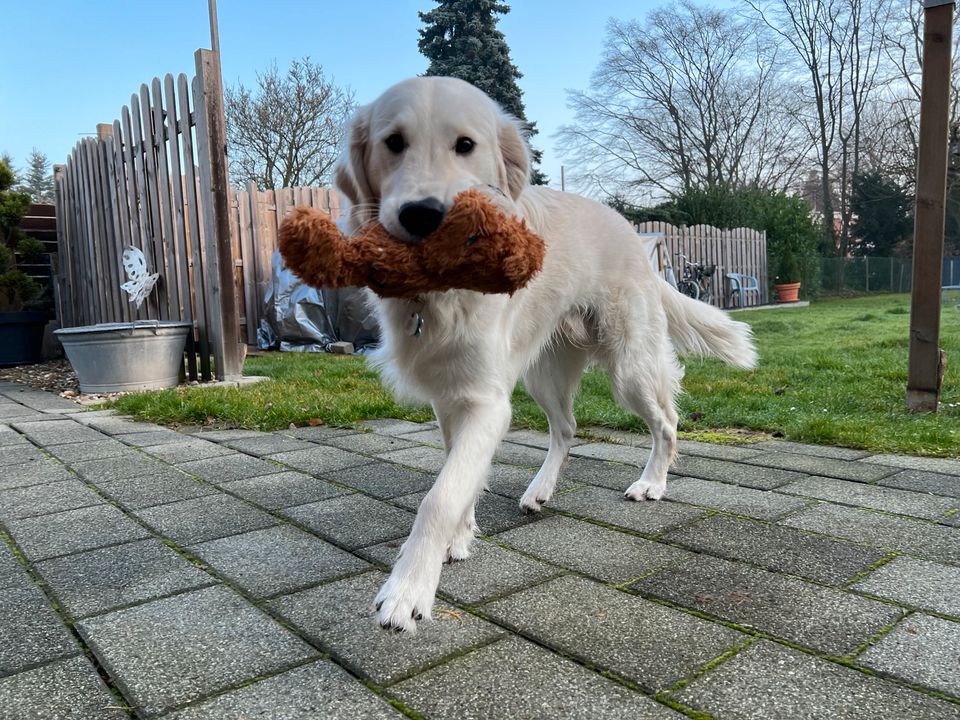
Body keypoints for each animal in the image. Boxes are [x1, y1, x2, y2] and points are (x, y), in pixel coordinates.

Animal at [334, 76, 752, 632]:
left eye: (465, 145)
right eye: (393, 143)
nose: (422, 216)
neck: (438, 295)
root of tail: (632, 233)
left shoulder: (487, 401)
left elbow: (440, 495)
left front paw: (408, 589)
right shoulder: (451, 398)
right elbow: (459, 472)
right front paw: (460, 539)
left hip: (629, 368)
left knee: (666, 423)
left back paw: (651, 483)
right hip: (543, 374)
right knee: (567, 428)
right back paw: (540, 490)